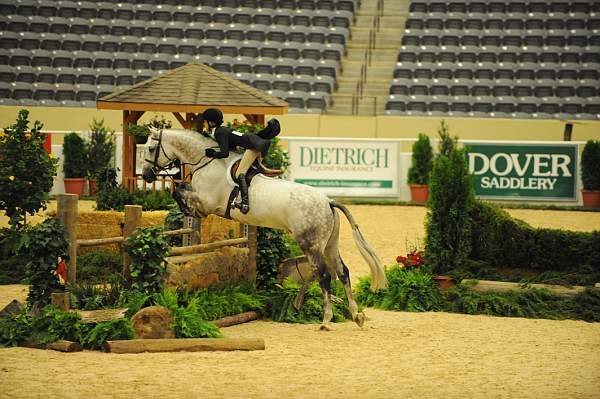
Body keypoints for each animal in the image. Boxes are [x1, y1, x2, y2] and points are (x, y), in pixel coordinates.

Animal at [142, 129, 386, 332]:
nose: (146, 175)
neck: (206, 162)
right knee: (342, 272)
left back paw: (326, 320)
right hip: (329, 244)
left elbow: (179, 193)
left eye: (151, 148)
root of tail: (328, 201)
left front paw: (185, 209)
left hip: (311, 244)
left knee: (325, 275)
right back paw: (356, 316)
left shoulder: (207, 203)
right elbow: (181, 189)